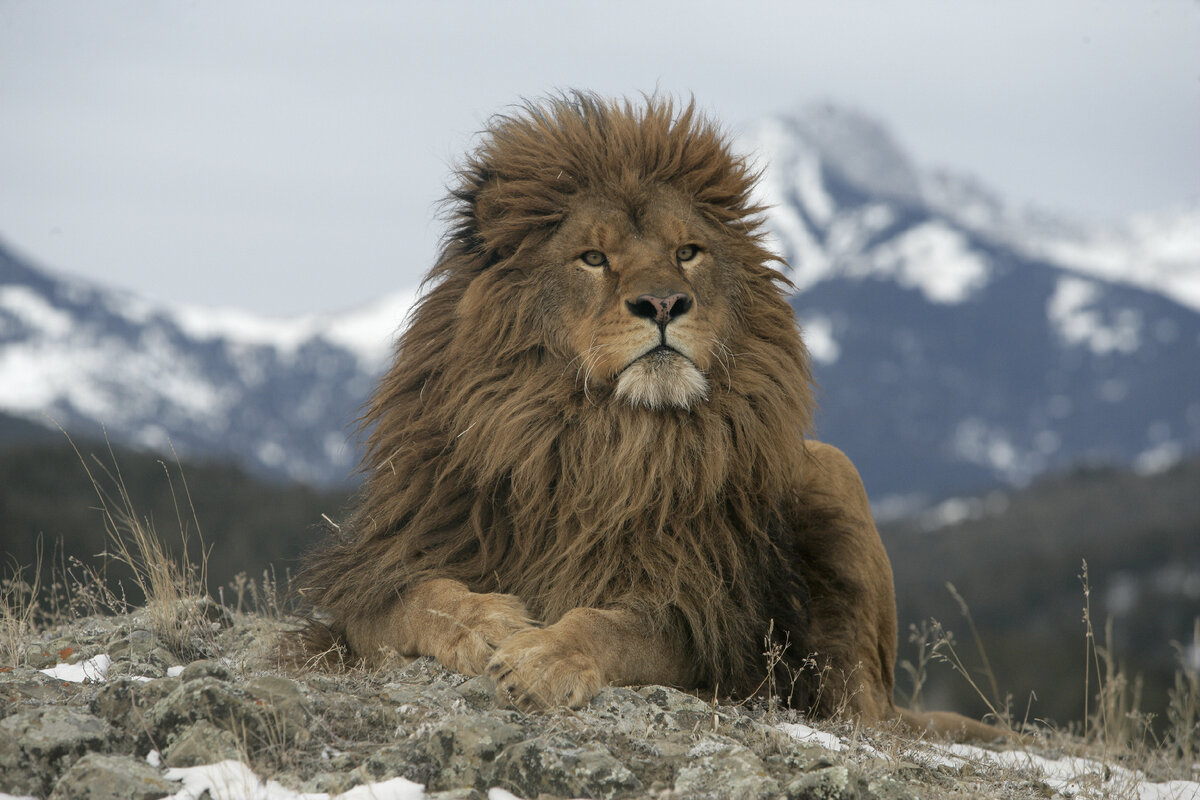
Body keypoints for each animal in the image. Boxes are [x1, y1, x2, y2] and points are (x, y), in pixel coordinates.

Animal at [297, 92, 1003, 738]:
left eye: (687, 252)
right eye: (593, 258)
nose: (664, 302)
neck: (596, 442)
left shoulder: (704, 618)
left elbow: (613, 626)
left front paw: (544, 656)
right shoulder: (381, 572)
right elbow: (416, 600)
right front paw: (488, 625)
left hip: (834, 475)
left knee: (864, 709)